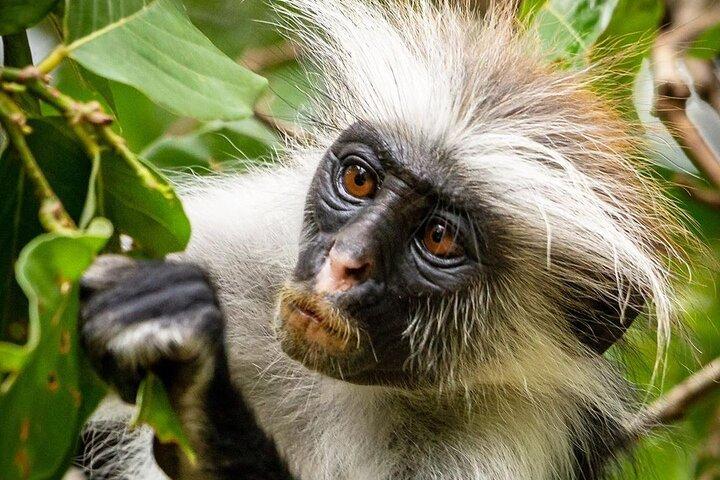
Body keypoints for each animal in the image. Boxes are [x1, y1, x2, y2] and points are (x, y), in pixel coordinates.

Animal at [76, 1, 686, 479]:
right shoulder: (241, 245)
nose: (344, 262)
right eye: (358, 180)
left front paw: (194, 383)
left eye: (439, 238)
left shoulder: (504, 437)